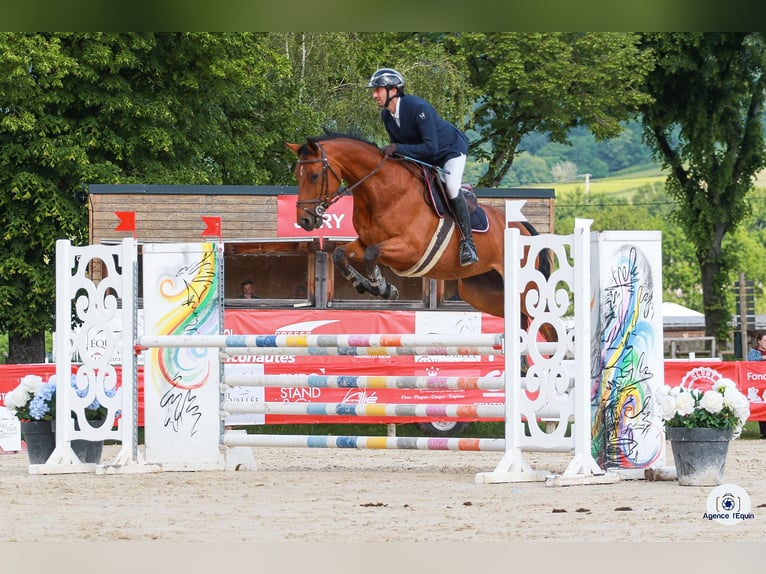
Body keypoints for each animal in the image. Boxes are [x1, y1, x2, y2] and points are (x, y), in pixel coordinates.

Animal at [288, 134, 560, 342]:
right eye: (297, 176)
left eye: (313, 175)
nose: (305, 220)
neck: (381, 192)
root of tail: (522, 226)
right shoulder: (364, 242)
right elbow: (341, 254)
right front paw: (368, 286)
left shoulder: (409, 251)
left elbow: (372, 254)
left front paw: (384, 288)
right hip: (483, 292)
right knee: (521, 320)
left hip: (526, 288)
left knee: (548, 327)